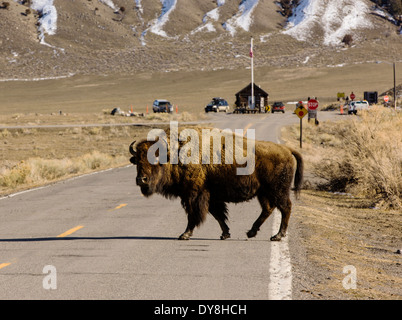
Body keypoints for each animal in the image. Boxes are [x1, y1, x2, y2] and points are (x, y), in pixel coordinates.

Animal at [130, 125, 304, 240]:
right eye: (137, 161)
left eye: (155, 160)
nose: (141, 180)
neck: (174, 154)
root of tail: (287, 150)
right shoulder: (211, 196)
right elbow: (218, 215)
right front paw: (225, 233)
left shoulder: (194, 195)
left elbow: (193, 215)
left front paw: (184, 234)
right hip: (263, 193)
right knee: (268, 209)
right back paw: (251, 232)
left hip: (278, 191)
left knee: (285, 208)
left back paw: (277, 236)